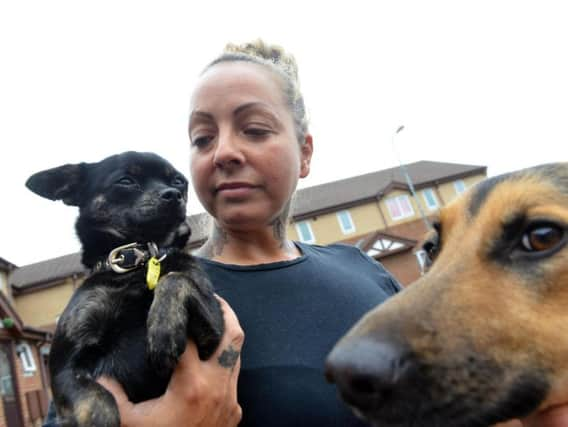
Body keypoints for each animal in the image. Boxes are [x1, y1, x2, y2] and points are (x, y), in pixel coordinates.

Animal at [26, 152, 223, 426]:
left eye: (179, 181)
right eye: (126, 181)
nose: (174, 194)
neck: (138, 261)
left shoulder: (214, 333)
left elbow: (175, 278)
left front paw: (164, 329)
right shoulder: (63, 367)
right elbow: (98, 403)